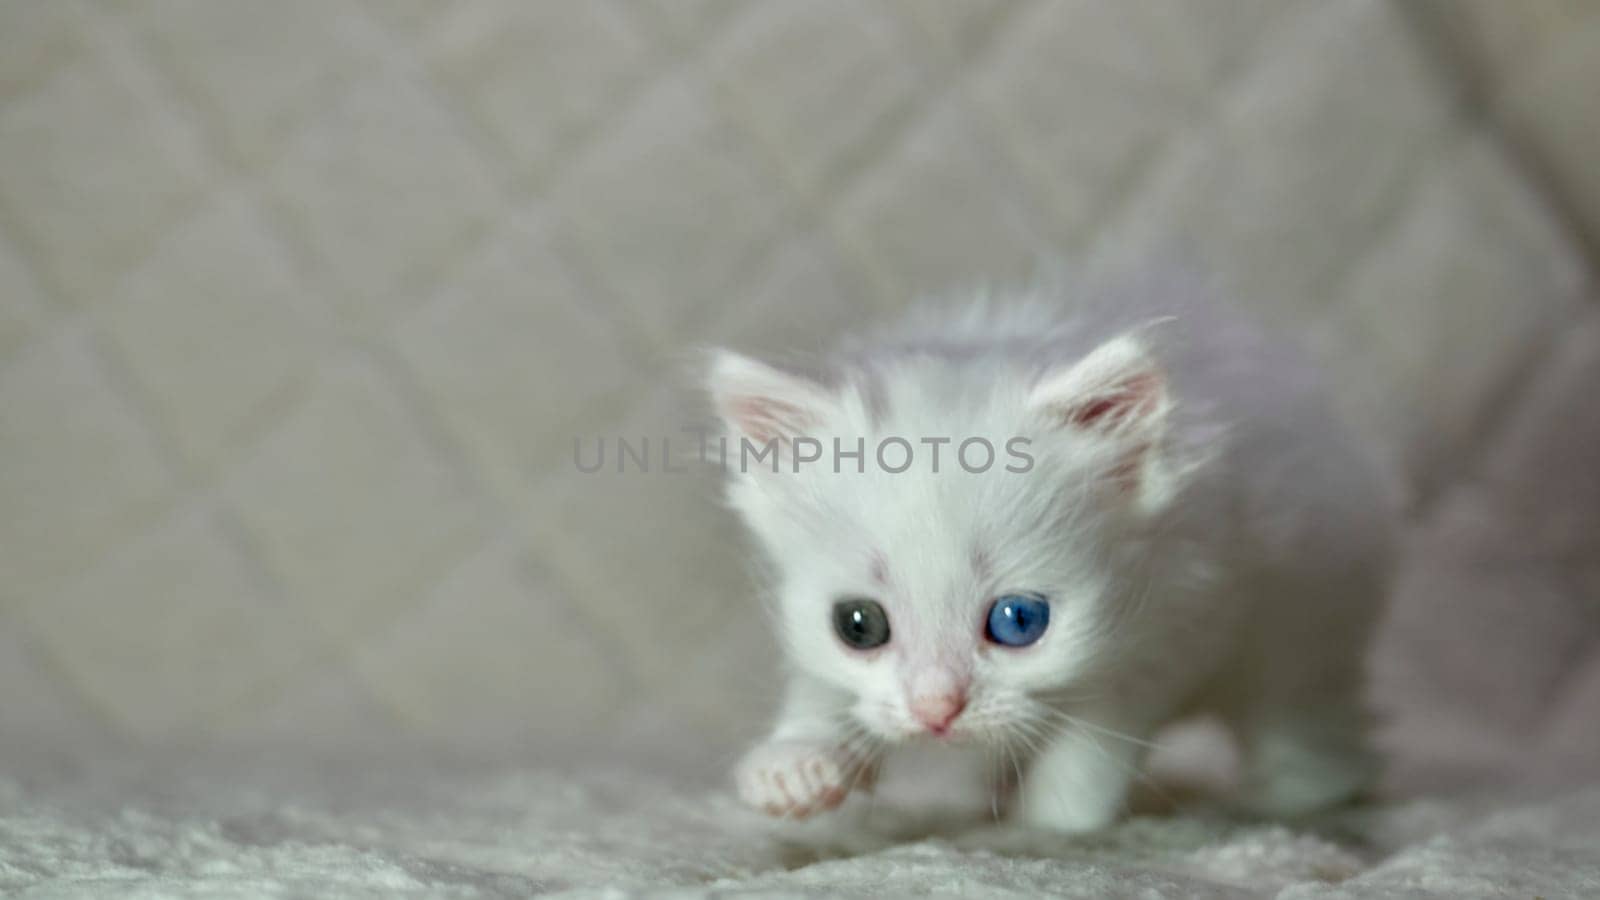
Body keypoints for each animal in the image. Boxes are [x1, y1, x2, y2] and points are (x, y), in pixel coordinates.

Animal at [707, 283, 1395, 832]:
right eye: (858, 625)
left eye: (1018, 621)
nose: (936, 711)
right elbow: (823, 687)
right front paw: (797, 761)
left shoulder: (1182, 616)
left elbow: (1091, 742)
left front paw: (1055, 823)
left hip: (1307, 622)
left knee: (1301, 714)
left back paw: (1298, 796)